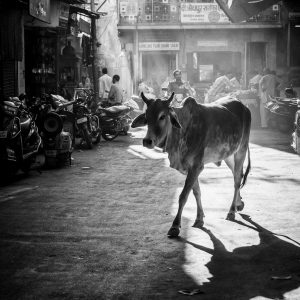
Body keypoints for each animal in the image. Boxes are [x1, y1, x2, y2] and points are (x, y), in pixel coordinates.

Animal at [131, 92, 251, 238]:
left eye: (162, 116)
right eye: (147, 117)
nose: (147, 141)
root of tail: (244, 106)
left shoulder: (196, 167)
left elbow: (183, 196)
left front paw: (175, 226)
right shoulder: (188, 169)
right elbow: (196, 192)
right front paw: (199, 218)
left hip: (241, 150)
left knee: (237, 180)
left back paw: (232, 211)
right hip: (228, 154)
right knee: (237, 174)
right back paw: (239, 203)